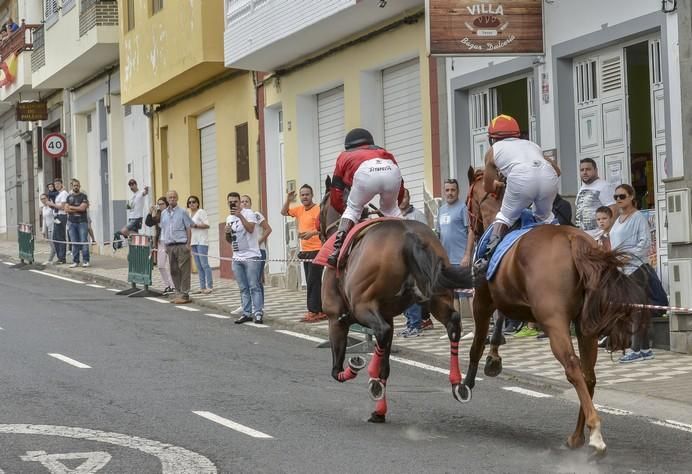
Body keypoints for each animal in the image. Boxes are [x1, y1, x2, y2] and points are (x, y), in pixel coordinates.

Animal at [318, 178, 470, 422]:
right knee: (453, 321)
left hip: (362, 307)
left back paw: (369, 376)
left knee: (381, 331)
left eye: (320, 207)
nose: (318, 230)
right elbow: (385, 365)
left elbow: (336, 369)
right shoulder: (387, 314)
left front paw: (356, 369)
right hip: (437, 297)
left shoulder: (336, 319)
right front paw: (379, 411)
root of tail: (409, 235)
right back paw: (458, 384)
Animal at [464, 166, 648, 456]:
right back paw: (577, 436)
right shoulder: (506, 298)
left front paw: (466, 382)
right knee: (588, 374)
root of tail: (573, 239)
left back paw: (594, 432)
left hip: (554, 322)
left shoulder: (483, 299)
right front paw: (494, 359)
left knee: (573, 366)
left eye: (467, 200)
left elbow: (479, 341)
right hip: (586, 326)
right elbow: (500, 322)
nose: (470, 228)